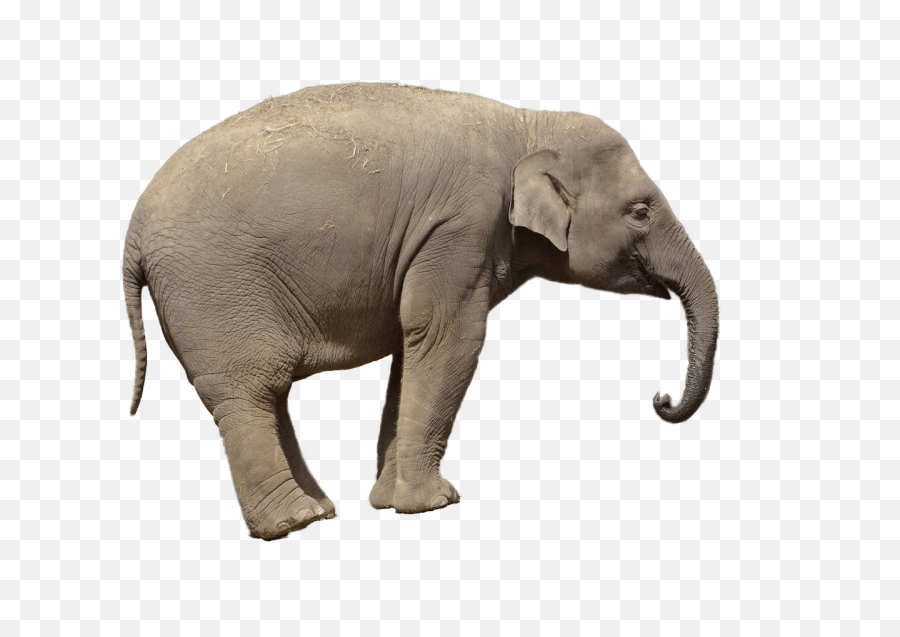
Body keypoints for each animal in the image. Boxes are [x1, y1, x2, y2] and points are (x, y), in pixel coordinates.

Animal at [123, 83, 718, 540]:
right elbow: (449, 336)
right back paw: (293, 524)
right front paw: (434, 505)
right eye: (640, 212)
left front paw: (391, 502)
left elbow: (413, 348)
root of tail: (134, 233)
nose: (660, 399)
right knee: (248, 389)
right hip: (213, 288)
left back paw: (318, 510)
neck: (528, 122)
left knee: (267, 393)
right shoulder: (462, 227)